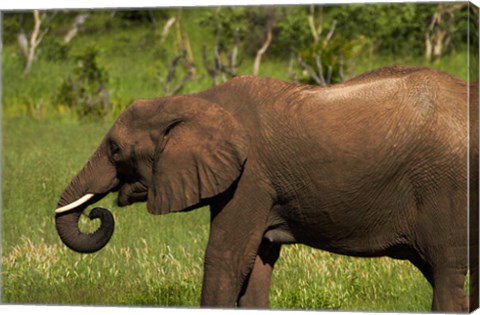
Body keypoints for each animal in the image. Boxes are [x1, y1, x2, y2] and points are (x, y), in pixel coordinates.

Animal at [53, 65, 476, 312]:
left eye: (115, 149)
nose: (95, 212)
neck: (195, 101)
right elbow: (256, 262)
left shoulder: (250, 177)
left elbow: (226, 257)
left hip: (448, 189)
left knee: (446, 272)